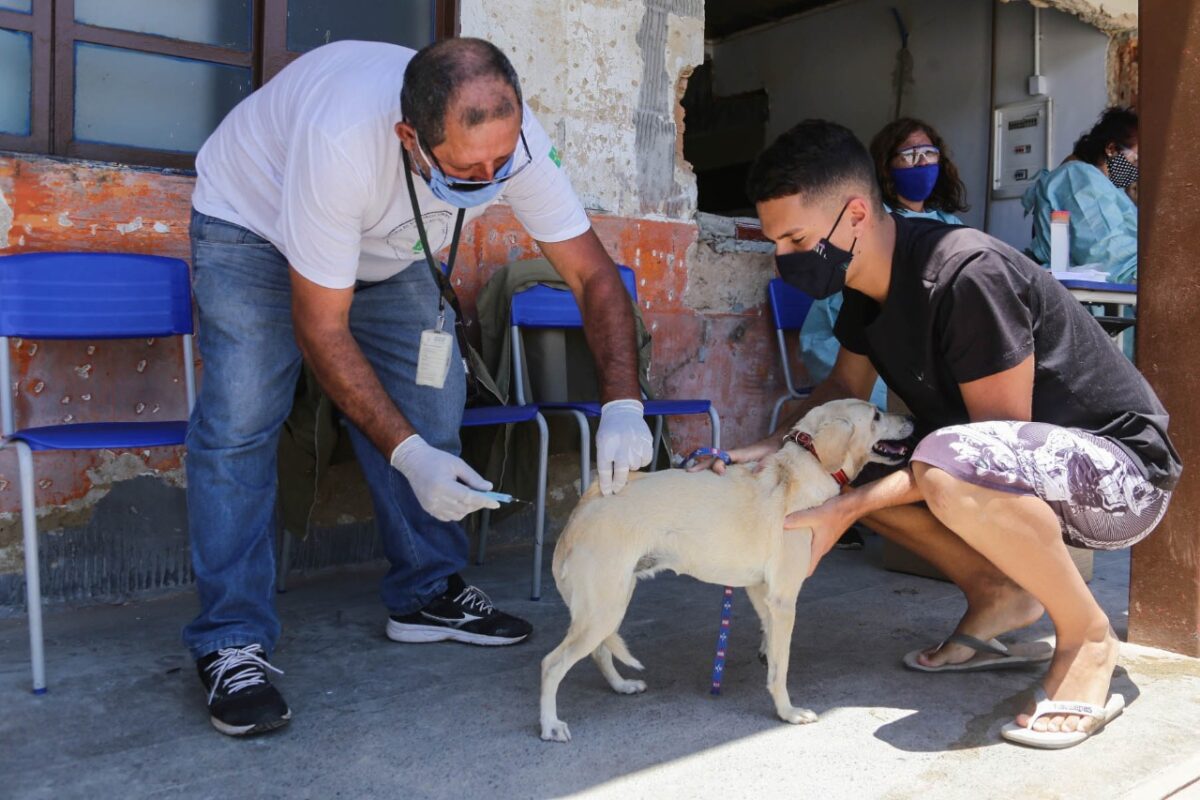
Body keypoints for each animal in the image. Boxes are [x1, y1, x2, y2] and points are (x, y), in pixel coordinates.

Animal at [540, 400, 912, 743]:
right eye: (876, 415)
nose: (910, 417)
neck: (802, 469)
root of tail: (588, 502)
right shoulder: (783, 600)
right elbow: (781, 667)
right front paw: (787, 712)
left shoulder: (761, 592)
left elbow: (771, 648)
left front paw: (767, 663)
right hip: (604, 609)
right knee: (552, 664)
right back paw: (549, 725)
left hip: (612, 604)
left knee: (600, 650)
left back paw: (621, 686)